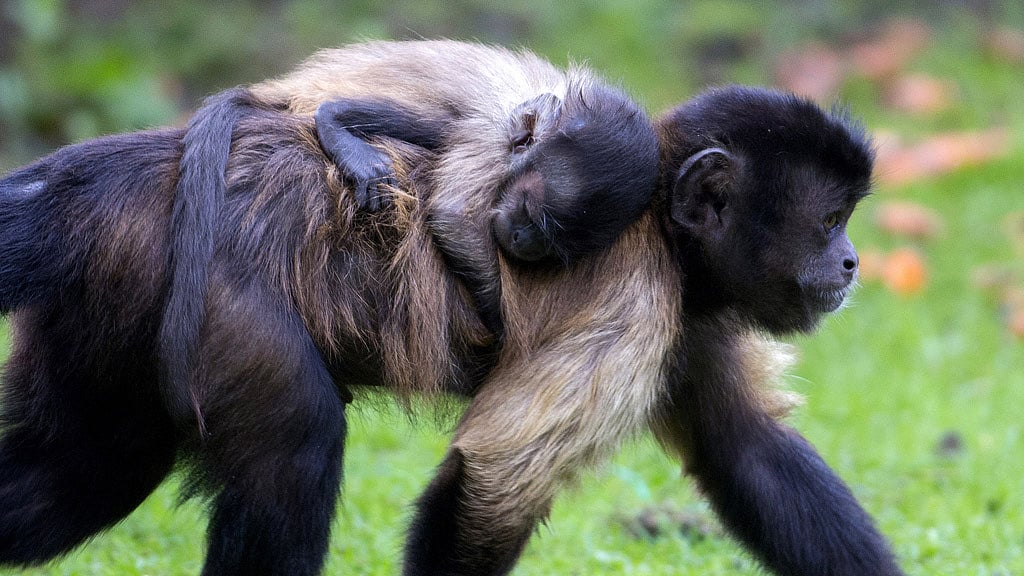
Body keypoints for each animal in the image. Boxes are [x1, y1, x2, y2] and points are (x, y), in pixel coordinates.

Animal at [0, 83, 905, 576]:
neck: (660, 229)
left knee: (87, 473)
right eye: (828, 223)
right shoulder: (634, 302)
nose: (852, 261)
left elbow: (747, 448)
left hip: (121, 307)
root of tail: (126, 180)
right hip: (218, 298)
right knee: (296, 441)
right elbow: (489, 484)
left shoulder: (689, 313)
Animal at [160, 41, 660, 428]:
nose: (526, 242)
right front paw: (500, 330)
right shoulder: (492, 137)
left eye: (553, 243)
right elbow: (453, 213)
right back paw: (334, 122)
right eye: (533, 218)